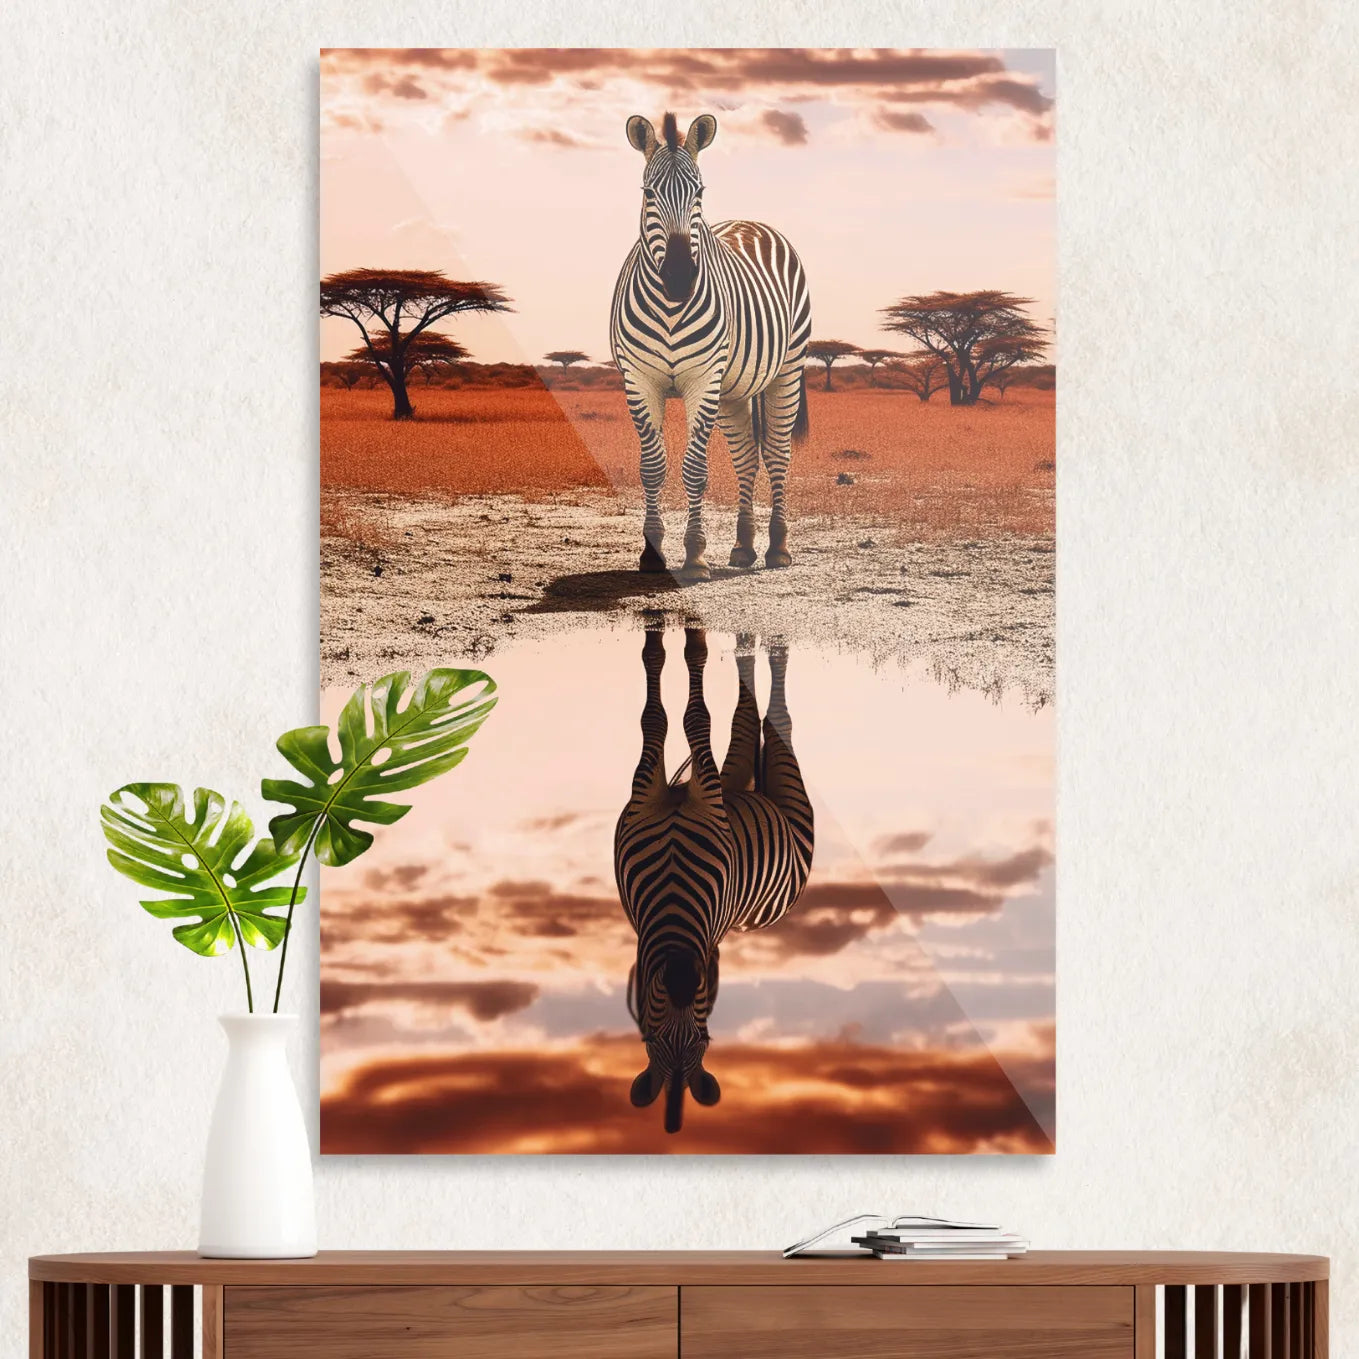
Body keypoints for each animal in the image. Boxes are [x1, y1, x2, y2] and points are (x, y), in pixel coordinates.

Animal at [610, 112, 812, 580]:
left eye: (699, 192)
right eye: (648, 193)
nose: (679, 278)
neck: (669, 306)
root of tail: (753, 222)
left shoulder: (703, 380)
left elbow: (695, 469)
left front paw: (695, 556)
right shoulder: (639, 379)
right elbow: (652, 468)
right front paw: (652, 553)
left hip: (787, 370)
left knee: (777, 454)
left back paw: (777, 548)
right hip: (734, 390)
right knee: (746, 458)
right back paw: (743, 547)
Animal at [615, 627, 815, 1133]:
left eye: (701, 1041)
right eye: (653, 1039)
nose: (684, 976)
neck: (673, 897)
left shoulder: (698, 784)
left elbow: (688, 718)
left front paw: (685, 643)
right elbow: (659, 717)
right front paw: (666, 643)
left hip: (783, 789)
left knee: (776, 721)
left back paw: (769, 642)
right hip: (737, 775)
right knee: (749, 713)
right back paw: (747, 640)